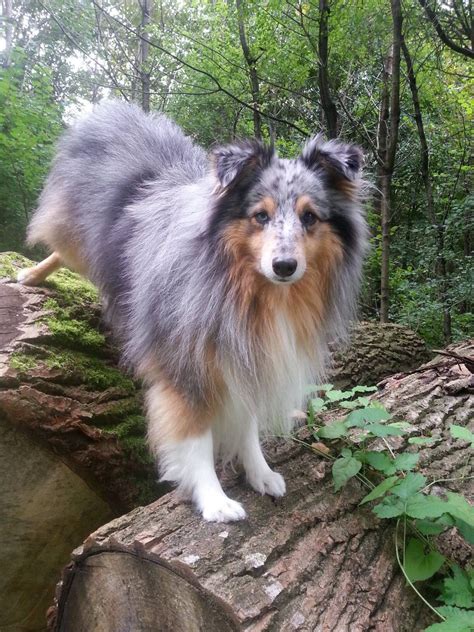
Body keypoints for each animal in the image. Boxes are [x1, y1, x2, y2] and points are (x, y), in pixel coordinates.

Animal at [18, 101, 368, 520]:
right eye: (261, 216)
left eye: (309, 217)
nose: (284, 266)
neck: (248, 290)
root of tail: (114, 113)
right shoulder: (186, 366)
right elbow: (195, 437)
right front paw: (214, 499)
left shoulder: (246, 354)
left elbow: (247, 424)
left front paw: (261, 473)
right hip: (74, 237)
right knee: (56, 248)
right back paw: (29, 276)